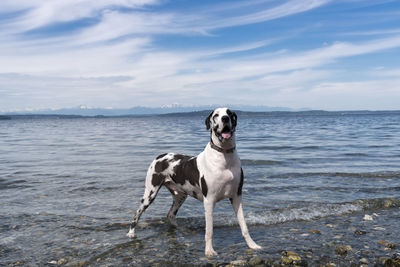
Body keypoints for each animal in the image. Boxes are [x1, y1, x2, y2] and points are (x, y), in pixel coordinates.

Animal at [126, 107, 260, 258]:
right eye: (216, 115)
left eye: (230, 113)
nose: (225, 118)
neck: (224, 157)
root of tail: (160, 156)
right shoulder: (209, 200)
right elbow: (209, 230)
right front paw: (209, 250)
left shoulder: (236, 197)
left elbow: (244, 226)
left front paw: (252, 245)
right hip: (150, 193)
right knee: (137, 213)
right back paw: (131, 233)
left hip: (180, 196)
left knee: (170, 214)